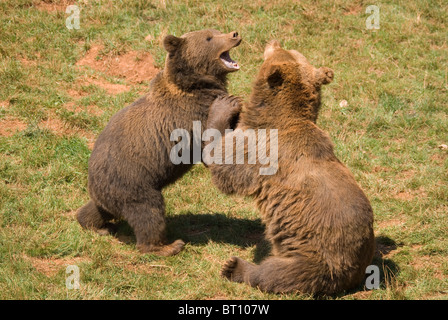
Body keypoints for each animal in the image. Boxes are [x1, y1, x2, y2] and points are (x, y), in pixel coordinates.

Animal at [76, 28, 242, 256]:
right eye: (209, 37)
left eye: (217, 30)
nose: (234, 34)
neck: (197, 85)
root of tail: (92, 180)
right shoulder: (189, 119)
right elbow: (211, 150)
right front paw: (228, 104)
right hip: (132, 180)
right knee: (148, 211)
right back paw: (166, 246)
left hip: (108, 190)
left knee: (98, 209)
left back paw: (96, 225)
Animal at [206, 41, 374, 296]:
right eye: (294, 51)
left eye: (281, 51)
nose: (273, 41)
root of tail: (355, 275)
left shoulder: (258, 150)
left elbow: (223, 167)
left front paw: (223, 106)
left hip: (316, 254)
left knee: (279, 273)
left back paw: (235, 267)